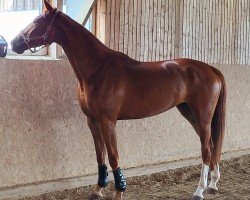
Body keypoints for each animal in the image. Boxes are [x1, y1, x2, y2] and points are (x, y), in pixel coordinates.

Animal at [11, 0, 227, 199]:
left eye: (37, 21)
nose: (14, 43)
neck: (98, 69)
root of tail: (210, 68)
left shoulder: (108, 122)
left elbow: (113, 156)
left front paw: (119, 191)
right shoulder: (92, 121)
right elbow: (100, 155)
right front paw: (98, 189)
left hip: (202, 117)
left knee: (206, 149)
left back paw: (199, 190)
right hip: (189, 113)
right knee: (212, 146)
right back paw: (213, 184)